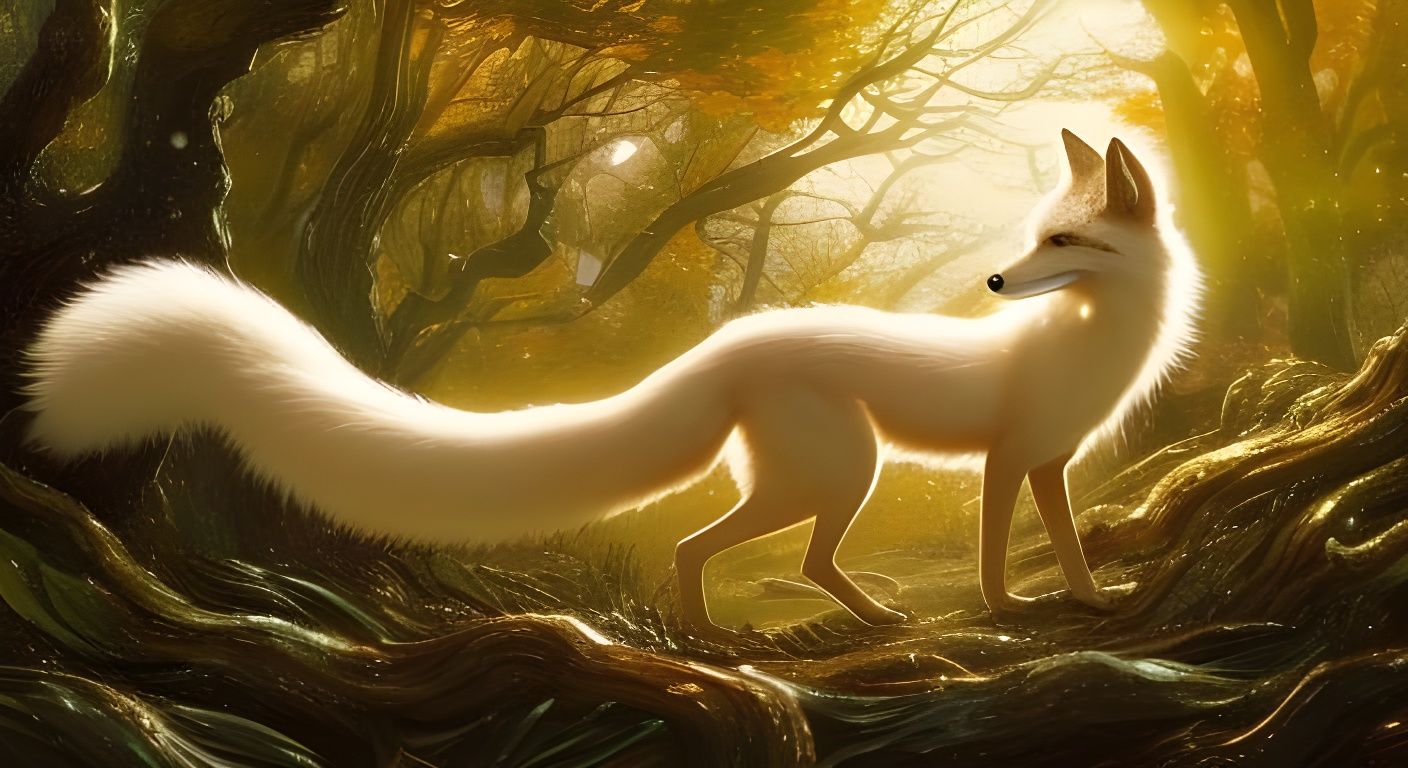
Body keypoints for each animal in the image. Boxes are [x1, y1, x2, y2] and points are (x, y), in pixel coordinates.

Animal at [21, 130, 1198, 629]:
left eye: (1062, 242)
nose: (997, 279)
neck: (1089, 341)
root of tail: (725, 347)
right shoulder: (1008, 461)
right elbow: (1003, 553)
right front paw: (1011, 606)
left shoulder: (1044, 464)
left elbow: (1066, 541)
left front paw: (1088, 595)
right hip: (840, 473)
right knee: (724, 550)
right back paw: (734, 634)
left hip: (827, 478)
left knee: (776, 558)